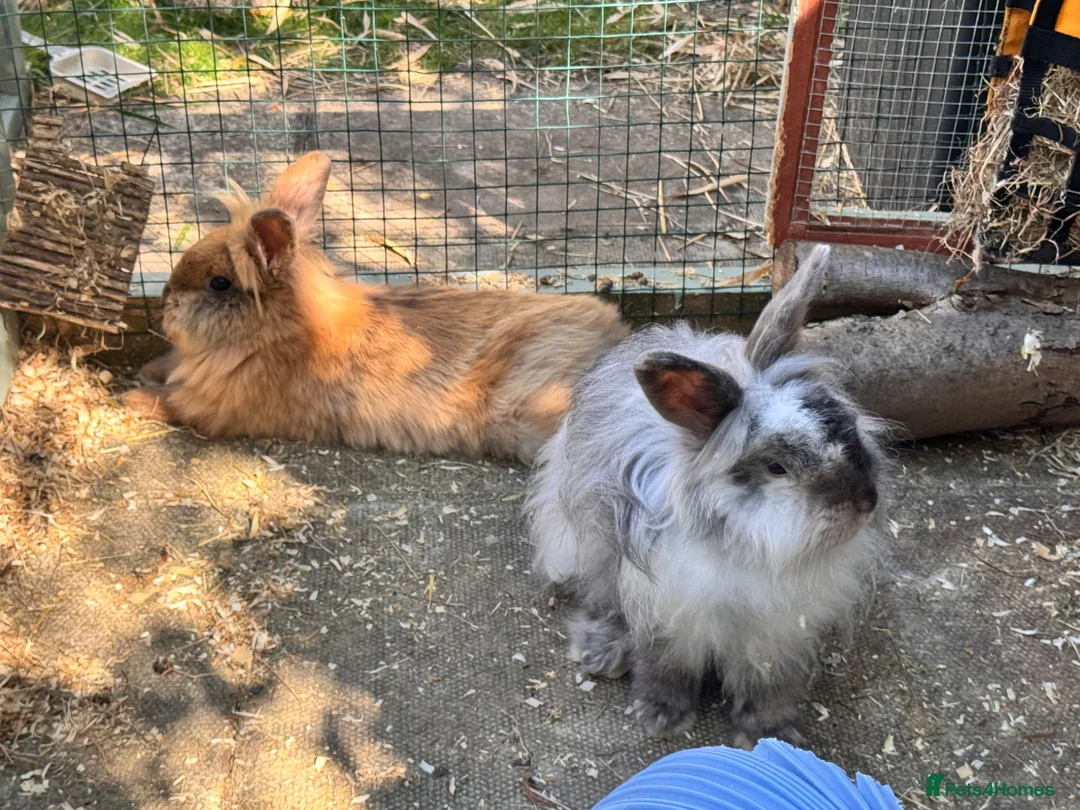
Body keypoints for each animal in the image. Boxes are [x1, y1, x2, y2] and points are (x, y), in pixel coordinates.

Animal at [122, 152, 628, 464]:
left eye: (219, 283)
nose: (165, 301)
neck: (283, 332)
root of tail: (614, 341)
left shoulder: (219, 409)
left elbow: (174, 404)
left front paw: (133, 396)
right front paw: (144, 372)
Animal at [526, 245, 891, 747]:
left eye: (848, 428)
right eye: (776, 468)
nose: (864, 504)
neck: (748, 542)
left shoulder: (777, 633)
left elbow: (768, 684)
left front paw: (769, 733)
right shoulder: (668, 607)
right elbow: (666, 665)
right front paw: (662, 716)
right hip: (593, 544)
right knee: (604, 602)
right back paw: (603, 653)